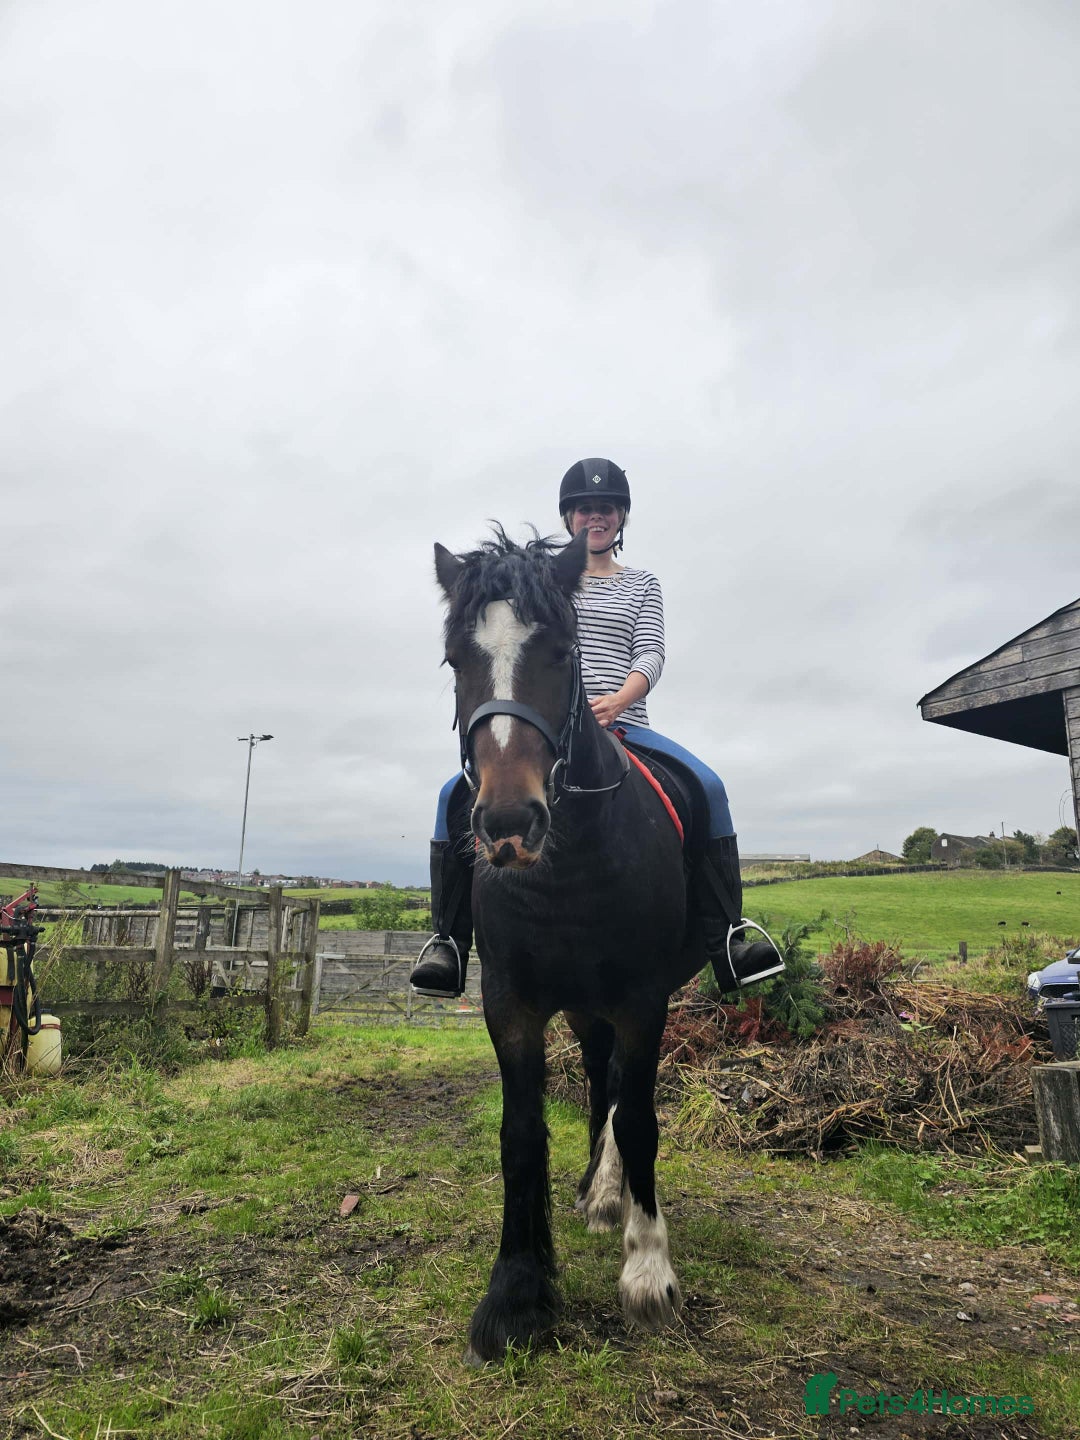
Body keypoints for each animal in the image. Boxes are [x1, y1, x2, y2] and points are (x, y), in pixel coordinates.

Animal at [434, 525, 713, 1365]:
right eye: (456, 660)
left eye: (561, 653)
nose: (506, 824)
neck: (569, 866)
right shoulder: (511, 1003)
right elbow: (521, 1135)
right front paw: (517, 1296)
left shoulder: (644, 999)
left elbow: (642, 1119)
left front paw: (649, 1275)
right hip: (587, 1009)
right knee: (599, 1078)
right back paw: (597, 1193)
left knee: (619, 1091)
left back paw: (614, 1196)